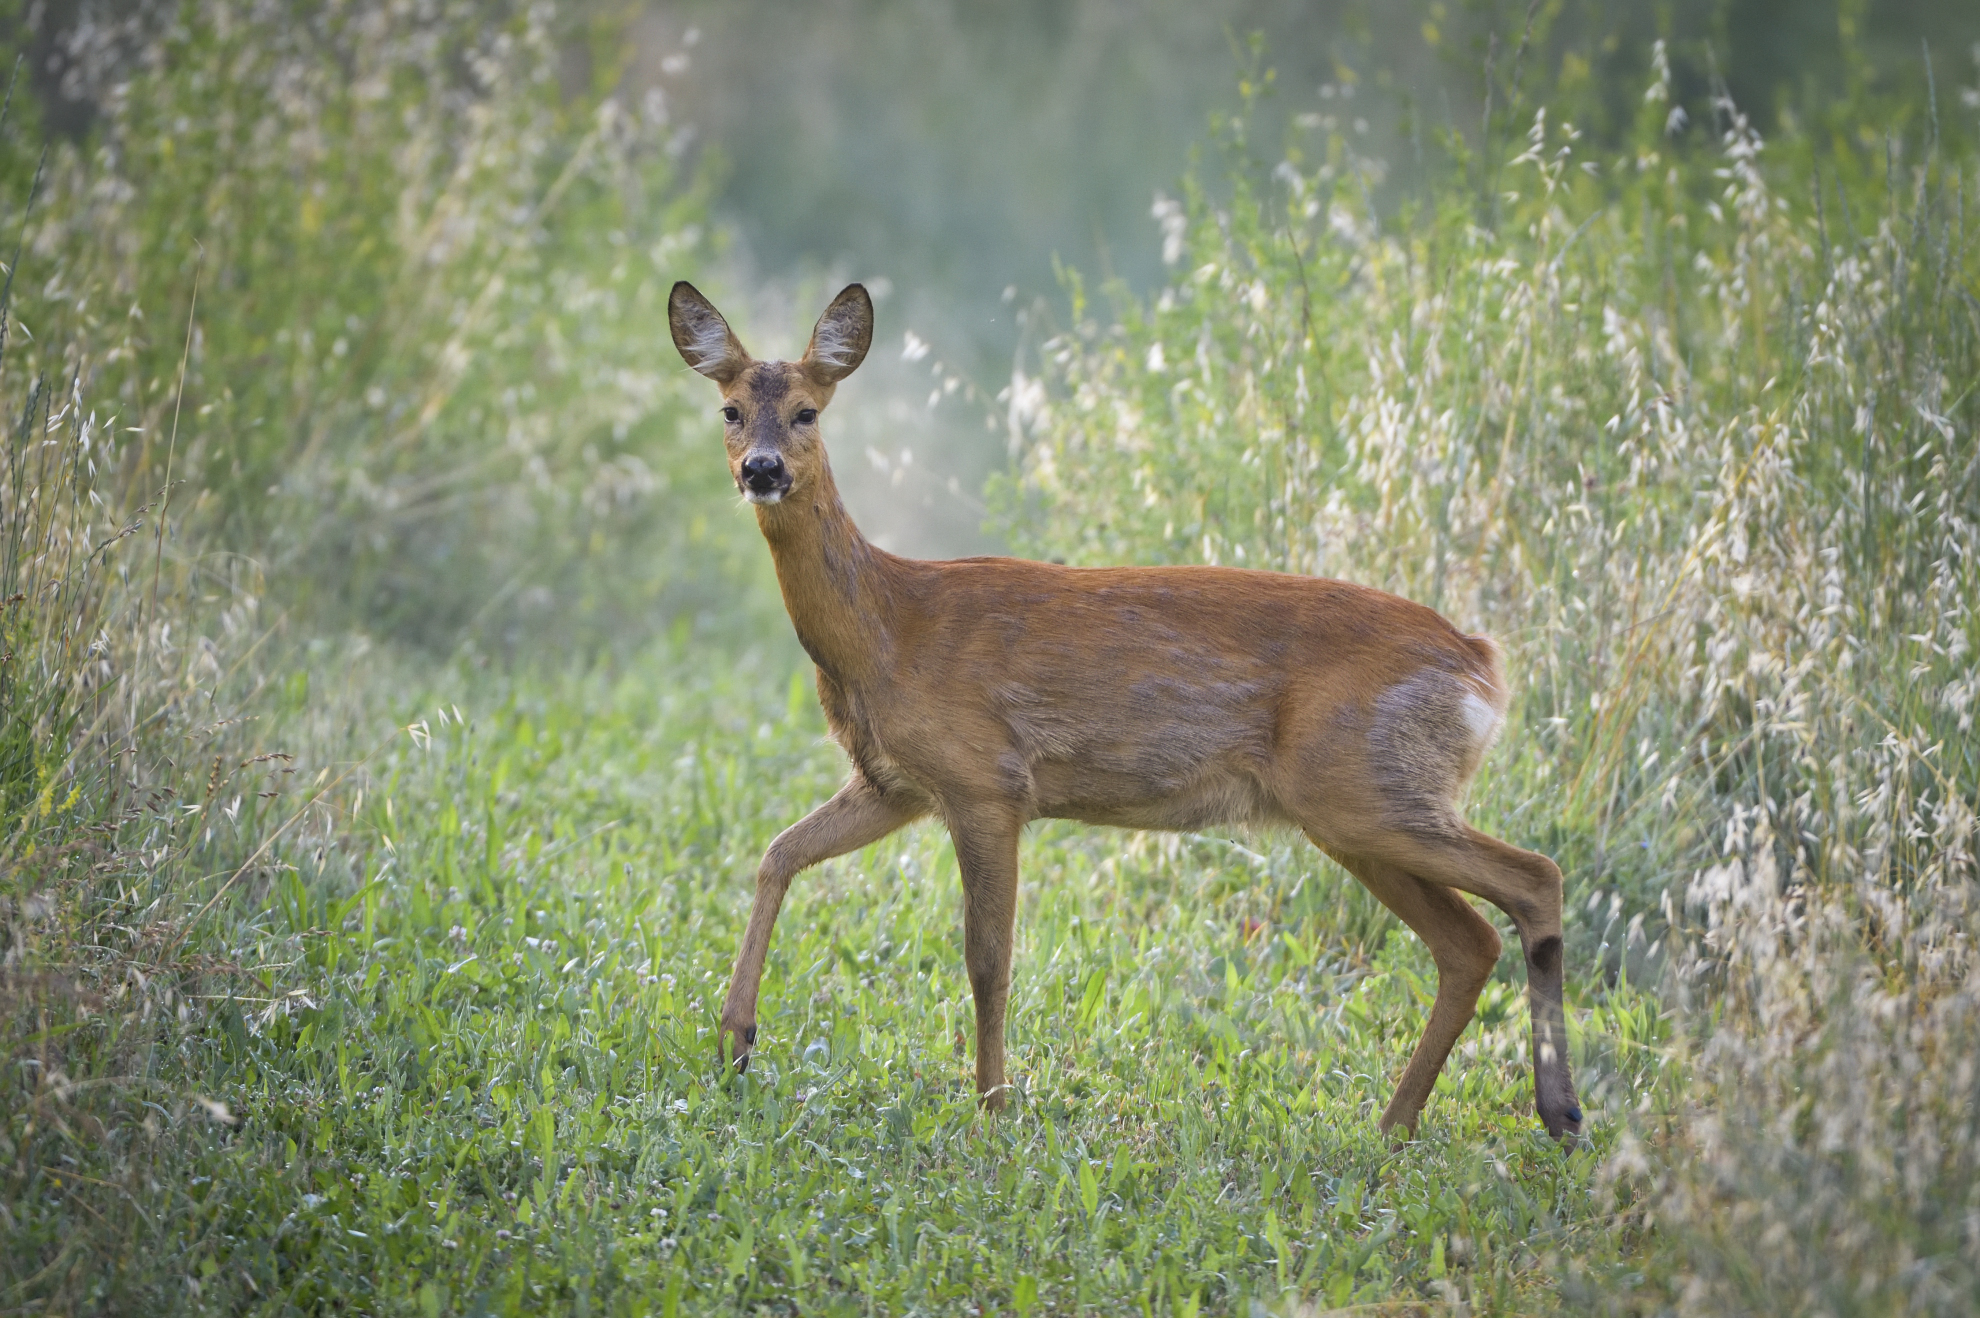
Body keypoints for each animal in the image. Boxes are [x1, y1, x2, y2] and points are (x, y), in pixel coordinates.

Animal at [667, 280, 1582, 1141]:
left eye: (808, 412)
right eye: (730, 409)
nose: (761, 469)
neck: (888, 626)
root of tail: (1482, 665)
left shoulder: (985, 781)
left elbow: (987, 960)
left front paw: (994, 1105)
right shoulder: (894, 784)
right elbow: (778, 854)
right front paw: (735, 1040)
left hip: (1365, 787)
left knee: (1533, 879)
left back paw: (1557, 1113)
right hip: (1355, 809)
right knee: (1468, 941)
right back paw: (1400, 1127)